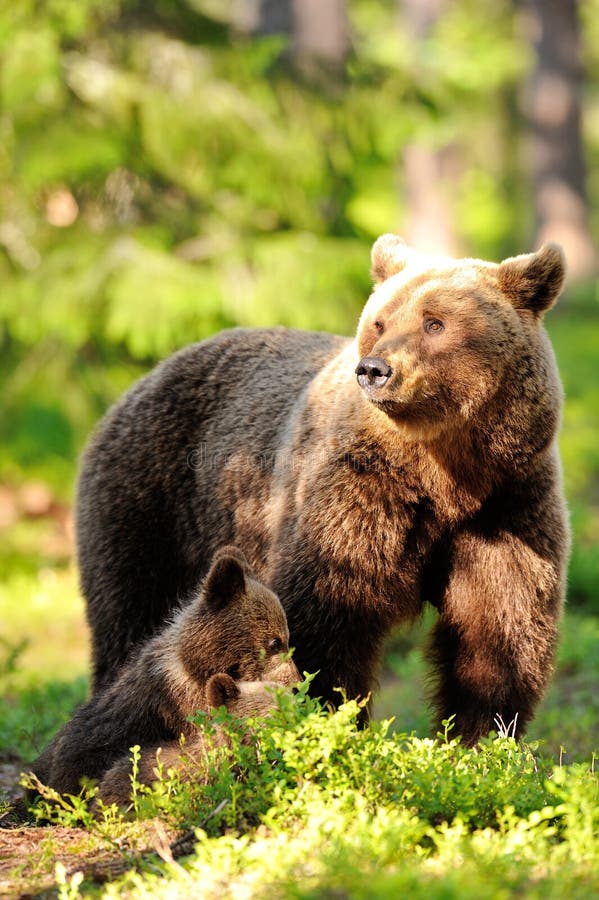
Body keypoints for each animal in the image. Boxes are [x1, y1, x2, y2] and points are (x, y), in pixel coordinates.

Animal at [75, 236, 569, 746]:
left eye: (434, 323)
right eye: (380, 322)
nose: (375, 369)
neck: (445, 475)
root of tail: (142, 379)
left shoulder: (507, 506)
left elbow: (498, 627)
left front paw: (480, 738)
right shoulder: (357, 493)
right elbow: (325, 612)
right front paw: (326, 718)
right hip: (153, 502)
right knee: (132, 612)